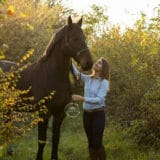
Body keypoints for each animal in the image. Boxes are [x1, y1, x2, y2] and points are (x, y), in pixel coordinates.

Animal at [0, 16, 93, 160]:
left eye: (84, 37)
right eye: (75, 38)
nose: (89, 63)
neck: (51, 74)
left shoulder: (60, 114)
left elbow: (56, 138)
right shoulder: (43, 113)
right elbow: (42, 140)